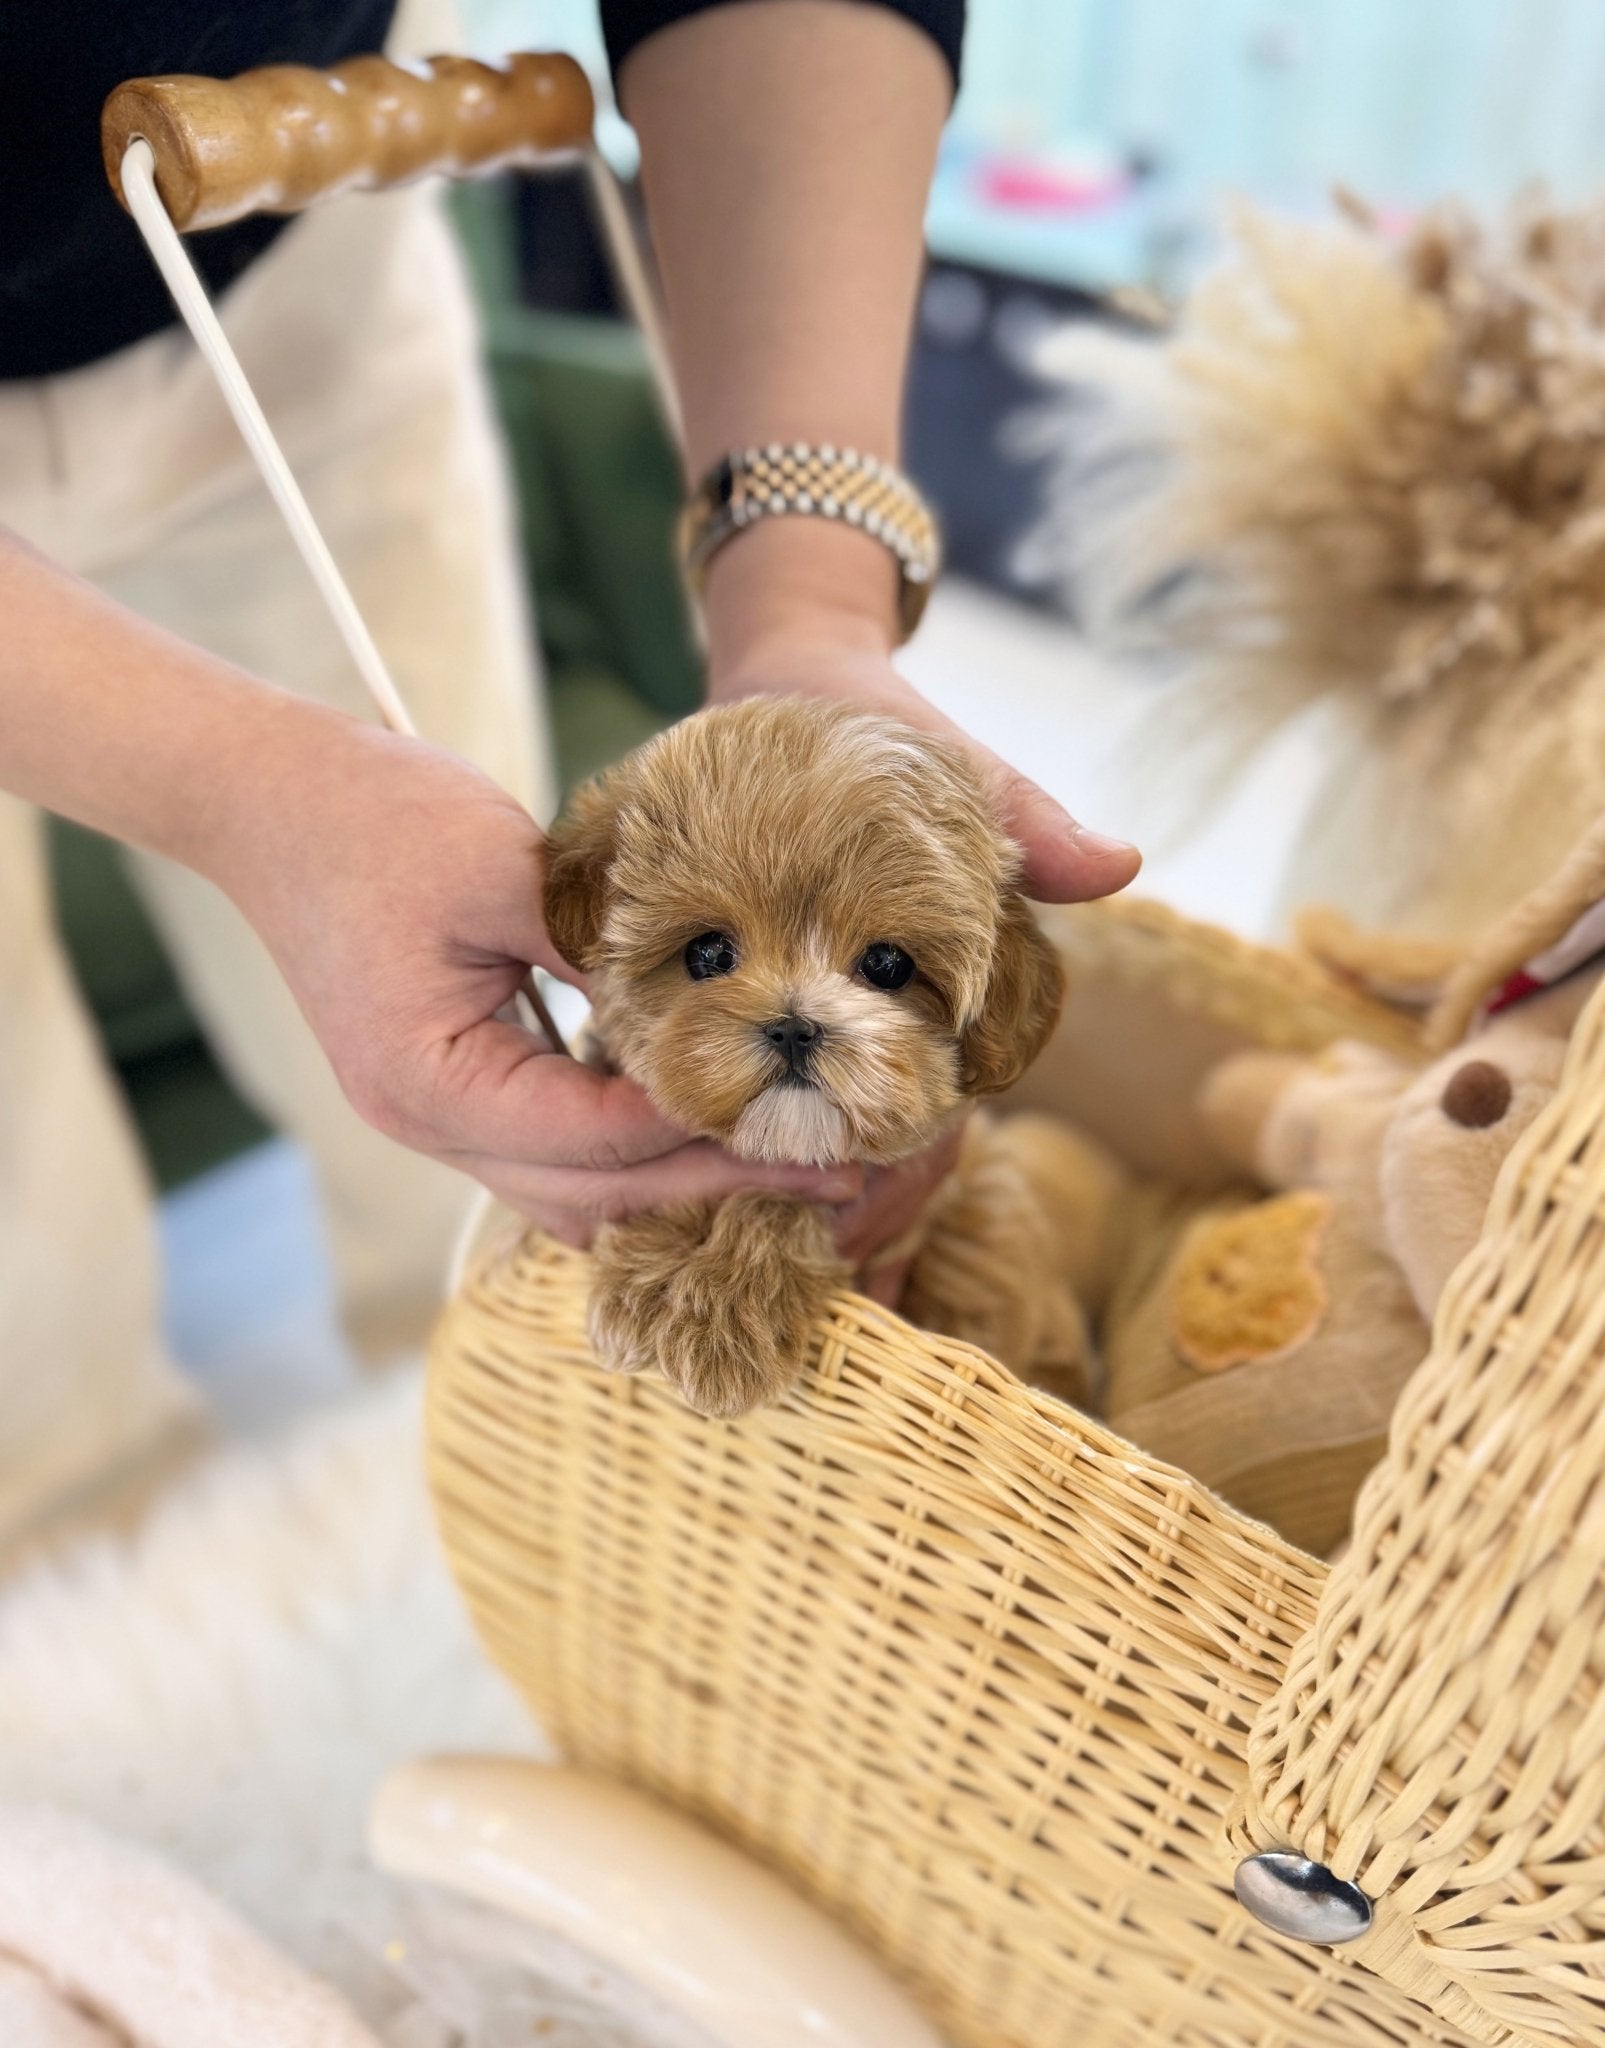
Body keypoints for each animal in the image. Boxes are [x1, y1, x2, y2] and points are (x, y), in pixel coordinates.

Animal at [544, 696, 1072, 1417]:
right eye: (707, 953)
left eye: (887, 965)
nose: (795, 1028)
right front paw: (649, 1274)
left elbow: (779, 1201)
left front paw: (725, 1316)